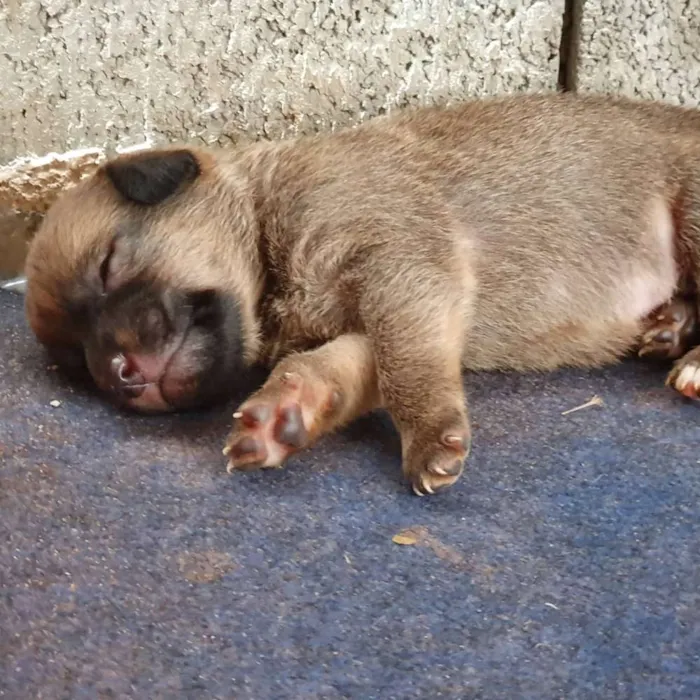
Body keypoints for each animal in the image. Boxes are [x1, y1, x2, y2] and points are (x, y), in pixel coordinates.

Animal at [24, 93, 700, 494]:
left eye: (109, 265)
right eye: (77, 363)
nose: (119, 374)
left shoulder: (403, 267)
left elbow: (408, 368)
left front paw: (429, 433)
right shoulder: (395, 310)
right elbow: (345, 366)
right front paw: (288, 410)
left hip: (691, 210)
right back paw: (671, 325)